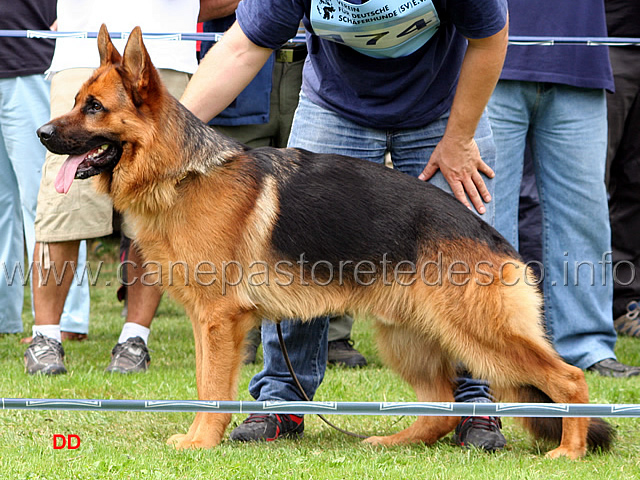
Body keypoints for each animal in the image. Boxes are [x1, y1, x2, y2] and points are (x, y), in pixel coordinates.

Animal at [37, 25, 612, 458]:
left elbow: (212, 388)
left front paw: (202, 442)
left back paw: (570, 451)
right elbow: (204, 385)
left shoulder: (219, 321)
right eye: (75, 101)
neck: (181, 173)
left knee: (568, 380)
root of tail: (497, 240)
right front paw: (203, 436)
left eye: (94, 108)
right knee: (443, 403)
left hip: (479, 334)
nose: (43, 134)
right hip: (408, 336)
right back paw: (392, 439)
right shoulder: (208, 323)